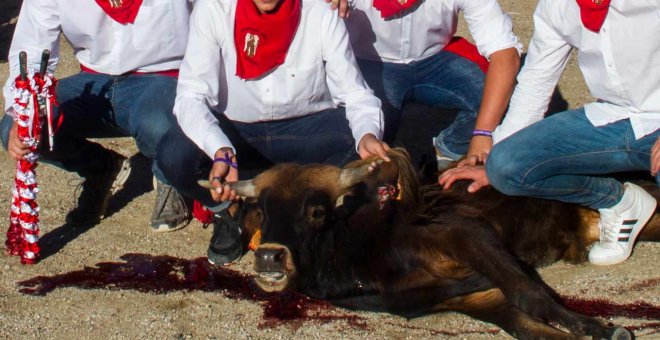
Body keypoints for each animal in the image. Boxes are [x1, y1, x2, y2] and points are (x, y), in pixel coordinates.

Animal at [208, 149, 660, 340]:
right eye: (262, 211)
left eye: (317, 211)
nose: (269, 257)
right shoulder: (470, 299)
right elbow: (526, 326)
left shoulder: (466, 234)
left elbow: (528, 292)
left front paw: (592, 326)